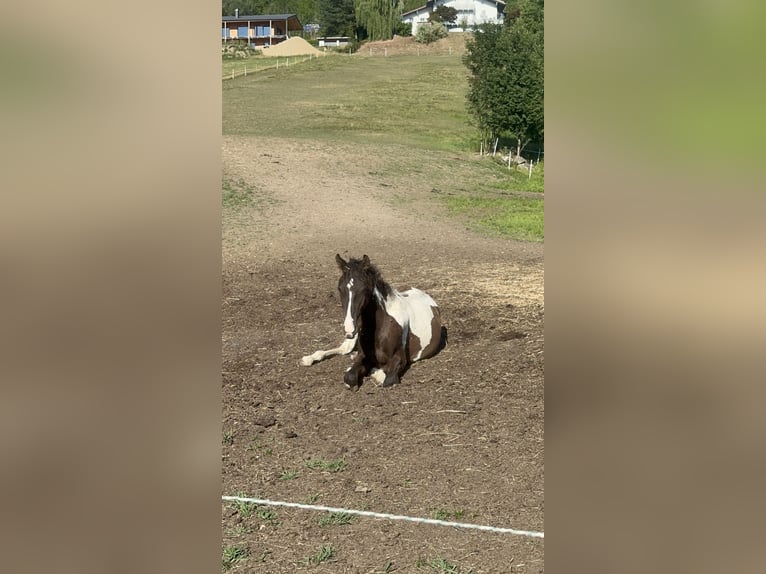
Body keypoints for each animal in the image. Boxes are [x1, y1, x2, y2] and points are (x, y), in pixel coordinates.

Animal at [301, 254, 447, 389]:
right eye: (340, 288)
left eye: (364, 289)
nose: (349, 329)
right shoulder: (363, 355)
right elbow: (349, 376)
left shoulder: (400, 359)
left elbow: (384, 377)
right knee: (343, 349)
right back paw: (308, 359)